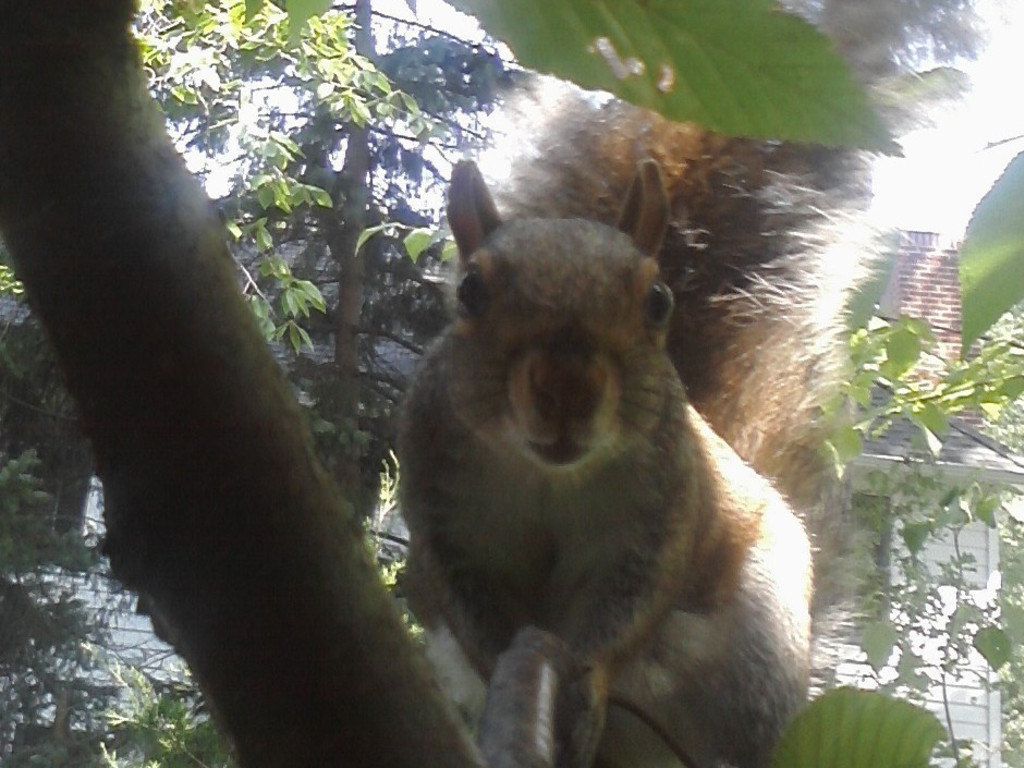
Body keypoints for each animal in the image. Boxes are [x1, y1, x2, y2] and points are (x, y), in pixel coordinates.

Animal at [397, 152, 825, 768]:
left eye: (658, 301)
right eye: (469, 290)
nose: (567, 386)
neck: (548, 475)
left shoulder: (658, 506)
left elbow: (631, 599)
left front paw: (586, 680)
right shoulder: (444, 507)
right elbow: (472, 607)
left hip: (759, 662)